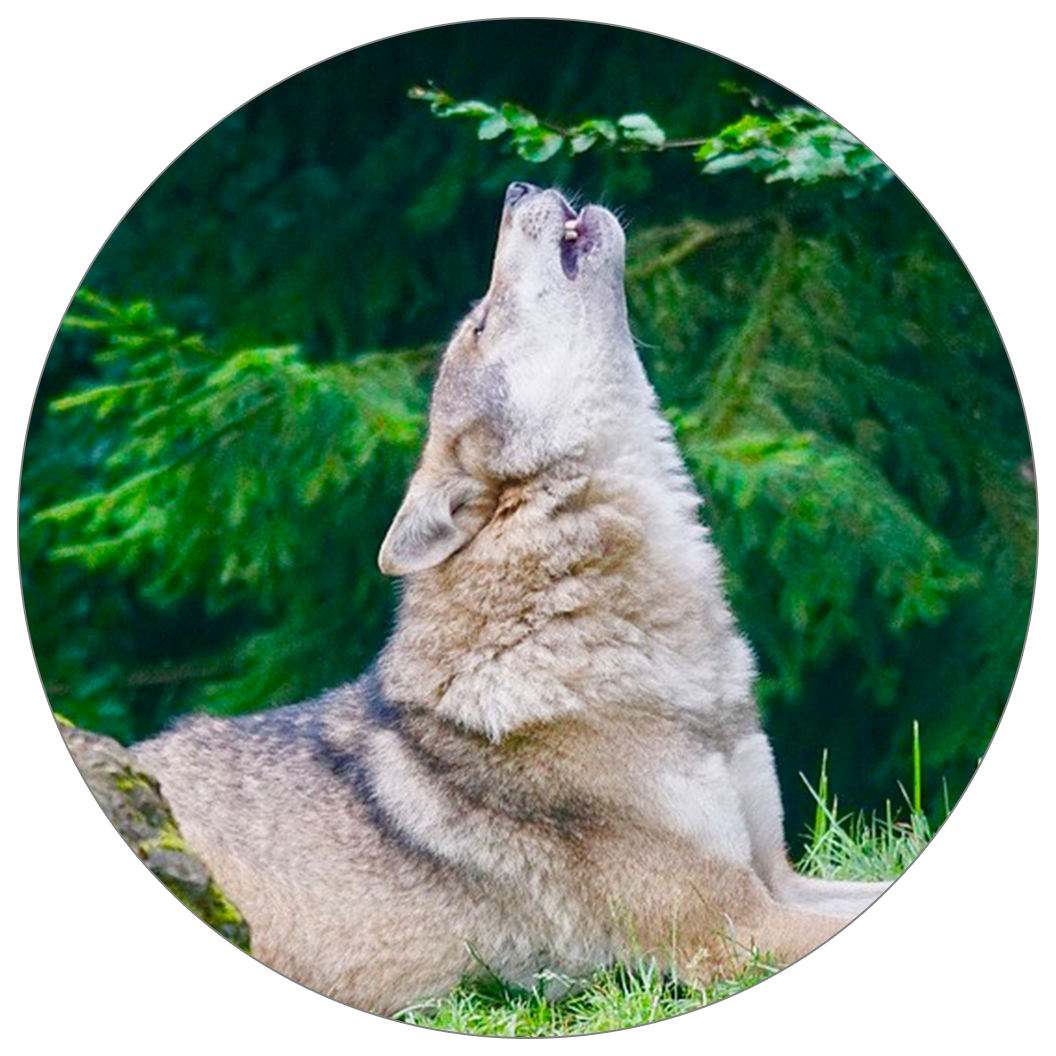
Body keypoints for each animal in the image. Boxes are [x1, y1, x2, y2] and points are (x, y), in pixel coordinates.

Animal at [134, 182, 1024, 1019]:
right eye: (480, 325)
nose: (518, 188)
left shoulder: (781, 878)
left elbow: (975, 886)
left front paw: (1011, 894)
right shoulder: (737, 933)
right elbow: (952, 933)